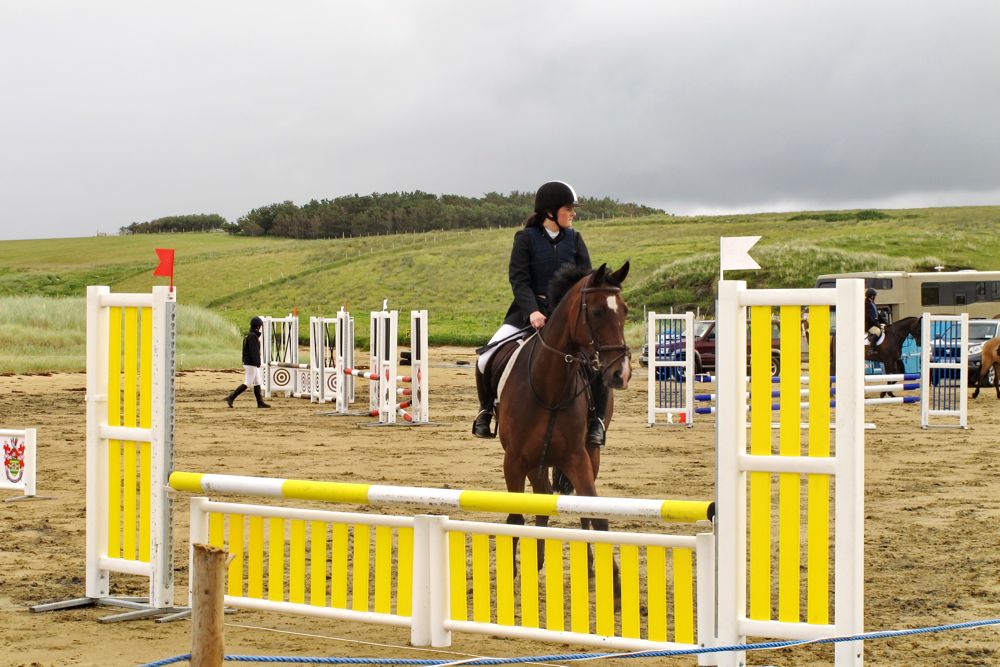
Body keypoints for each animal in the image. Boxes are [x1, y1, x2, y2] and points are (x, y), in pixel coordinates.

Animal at [486, 261, 631, 574]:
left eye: (624, 310)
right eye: (597, 311)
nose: (621, 373)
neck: (549, 388)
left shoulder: (576, 457)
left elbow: (596, 514)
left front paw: (612, 576)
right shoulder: (514, 460)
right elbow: (515, 518)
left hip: (589, 453)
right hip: (534, 462)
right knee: (539, 499)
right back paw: (538, 562)